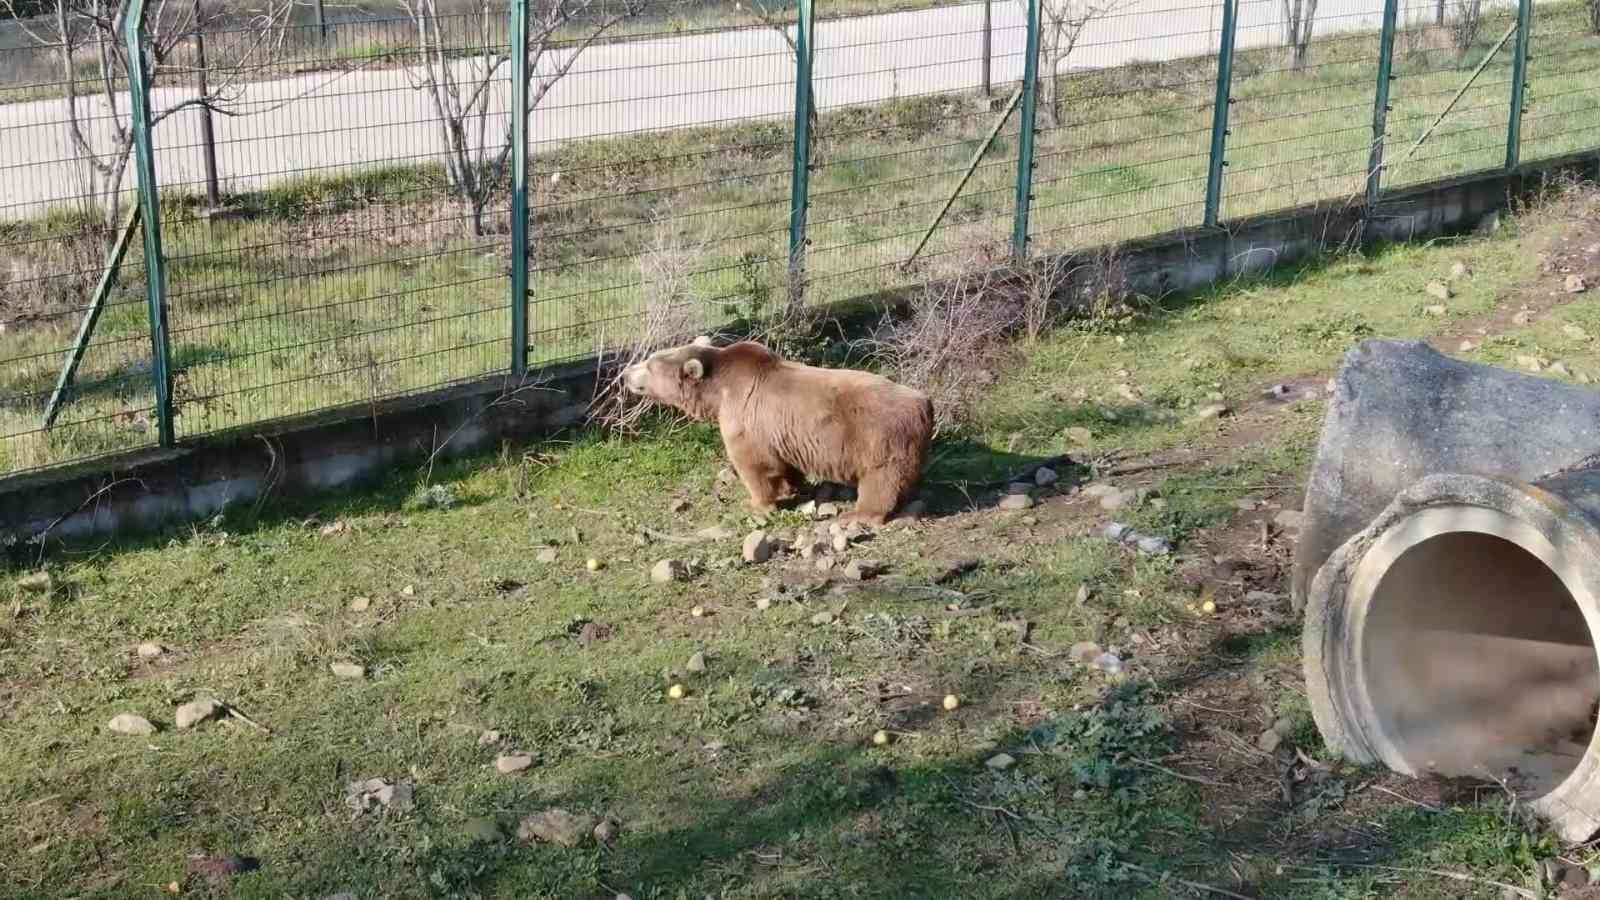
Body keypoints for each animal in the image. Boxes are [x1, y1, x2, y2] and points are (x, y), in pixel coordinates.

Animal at [617, 333, 934, 522]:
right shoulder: (779, 432)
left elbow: (754, 464)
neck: (718, 391)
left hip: (879, 440)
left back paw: (858, 515)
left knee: (881, 482)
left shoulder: (745, 417)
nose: (624, 373)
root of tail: (925, 404)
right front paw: (792, 485)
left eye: (650, 365)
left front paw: (756, 503)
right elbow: (784, 464)